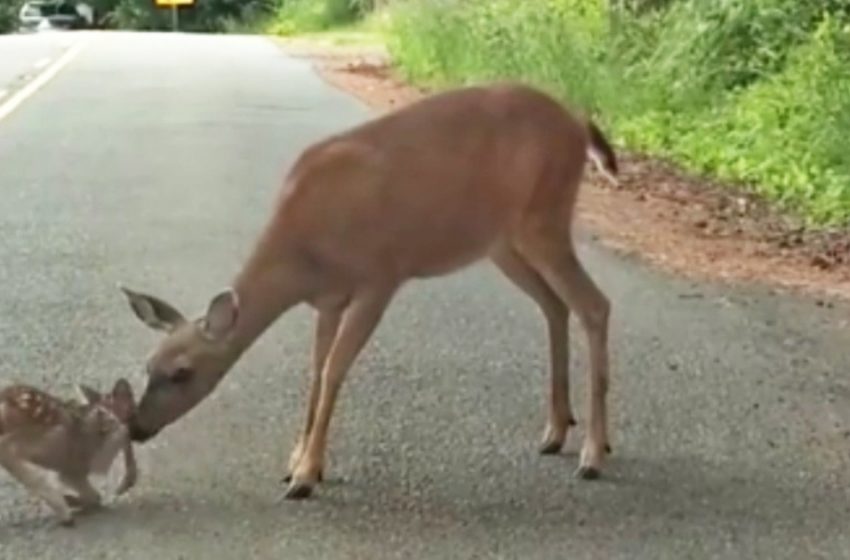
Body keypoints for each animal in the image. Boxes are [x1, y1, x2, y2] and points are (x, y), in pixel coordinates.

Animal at [0, 378, 136, 528]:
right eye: (100, 412)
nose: (110, 422)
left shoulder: (70, 468)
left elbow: (94, 496)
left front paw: (74, 501)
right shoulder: (72, 465)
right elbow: (93, 496)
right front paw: (71, 502)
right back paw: (65, 515)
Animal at [121, 82, 616, 498]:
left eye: (182, 372)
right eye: (148, 366)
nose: (137, 428)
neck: (303, 253)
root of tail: (576, 122)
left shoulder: (379, 277)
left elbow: (334, 369)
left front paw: (305, 476)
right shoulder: (327, 300)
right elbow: (316, 369)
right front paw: (298, 460)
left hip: (544, 217)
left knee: (595, 305)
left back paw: (593, 453)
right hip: (502, 242)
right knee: (556, 306)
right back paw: (556, 432)